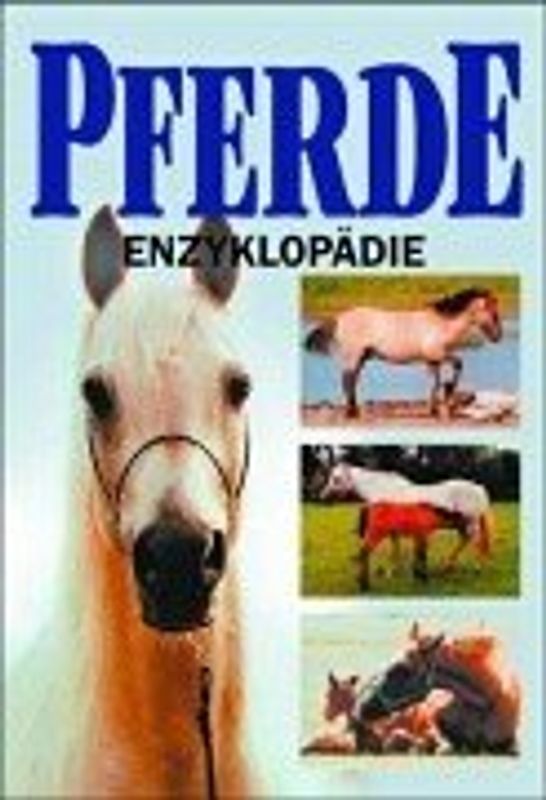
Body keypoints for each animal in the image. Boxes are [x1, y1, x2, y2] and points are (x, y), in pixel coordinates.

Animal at [304, 287, 503, 418]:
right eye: (493, 313)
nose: (498, 337)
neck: (441, 324)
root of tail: (340, 318)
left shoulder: (432, 360)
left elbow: (435, 381)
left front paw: (434, 409)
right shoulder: (437, 354)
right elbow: (458, 365)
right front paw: (448, 393)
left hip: (361, 358)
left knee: (352, 380)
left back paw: (354, 410)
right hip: (353, 356)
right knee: (348, 380)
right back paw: (351, 413)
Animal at [356, 501, 490, 590]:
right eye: (465, 522)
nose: (468, 534)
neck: (429, 513)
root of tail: (369, 507)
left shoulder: (419, 536)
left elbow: (418, 555)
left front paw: (418, 576)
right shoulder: (423, 535)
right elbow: (423, 556)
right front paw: (424, 578)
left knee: (363, 554)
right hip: (376, 534)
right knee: (364, 553)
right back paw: (364, 585)